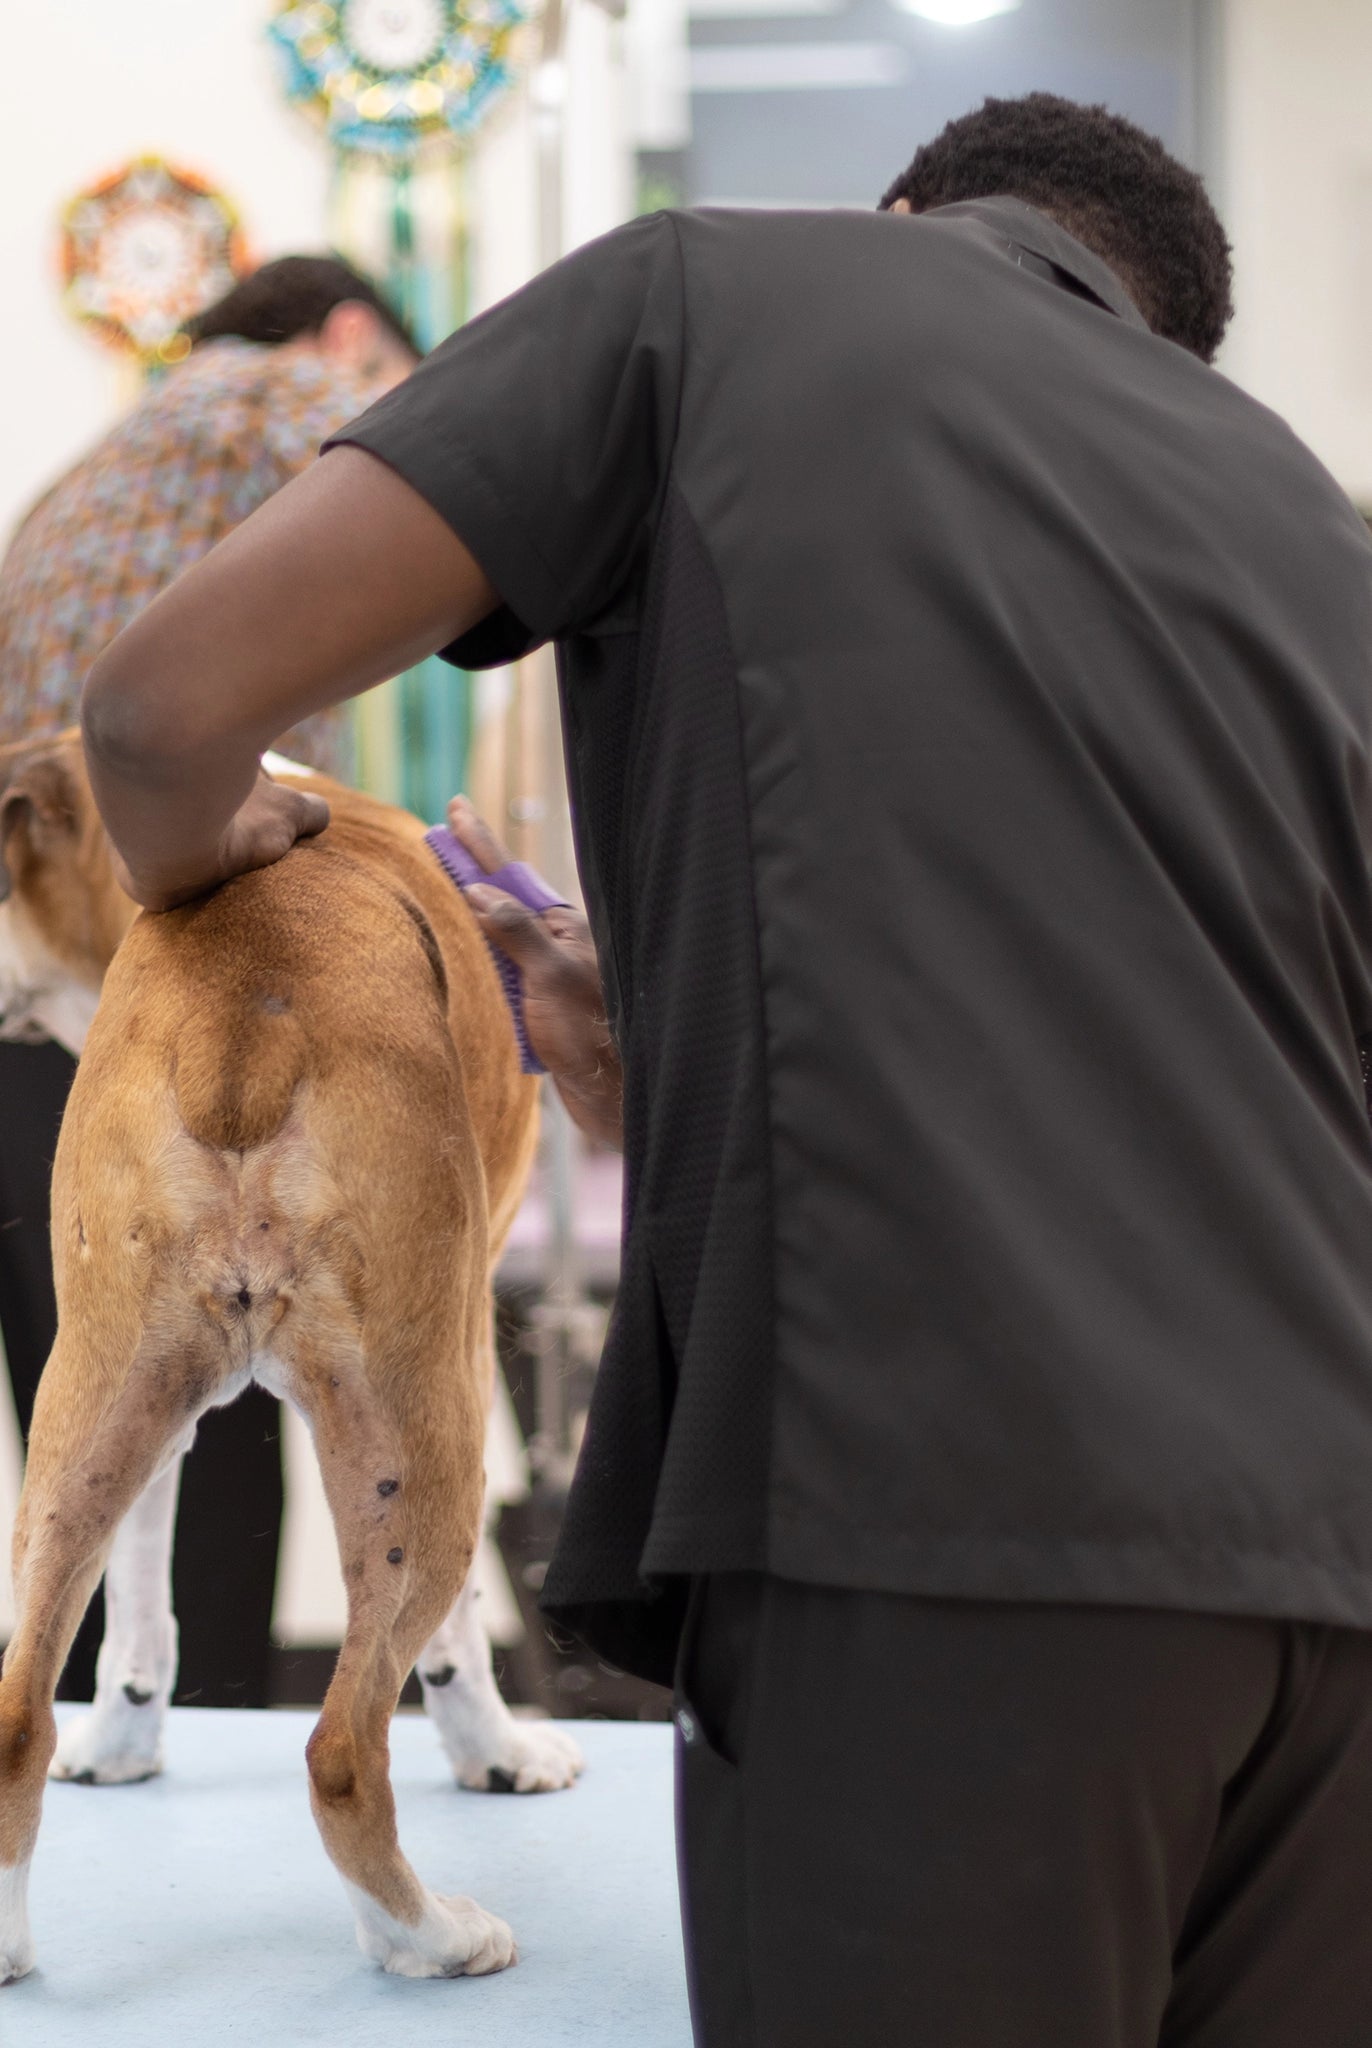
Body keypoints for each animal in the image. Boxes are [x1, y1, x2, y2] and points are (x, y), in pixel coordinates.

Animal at [0, 731, 582, 1984]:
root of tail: (247, 1015)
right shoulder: (462, 1342)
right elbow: (462, 1634)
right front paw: (498, 1751)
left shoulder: (153, 1408)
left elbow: (142, 1582)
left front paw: (124, 1731)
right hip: (419, 1438)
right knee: (344, 1745)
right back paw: (430, 1935)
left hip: (88, 1406)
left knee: (19, 1708)